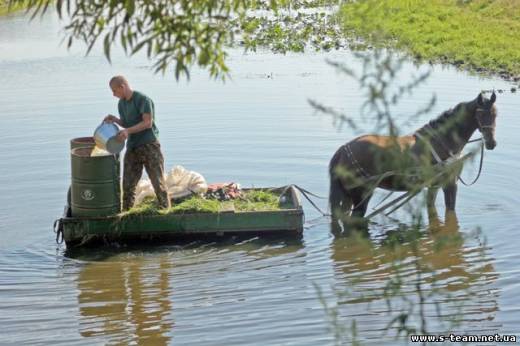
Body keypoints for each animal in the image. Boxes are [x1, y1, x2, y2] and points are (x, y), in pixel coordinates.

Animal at [332, 90, 498, 223]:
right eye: (480, 113)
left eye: (496, 114)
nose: (491, 143)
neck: (443, 141)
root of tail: (343, 150)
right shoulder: (450, 184)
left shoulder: (434, 186)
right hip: (361, 196)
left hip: (347, 197)